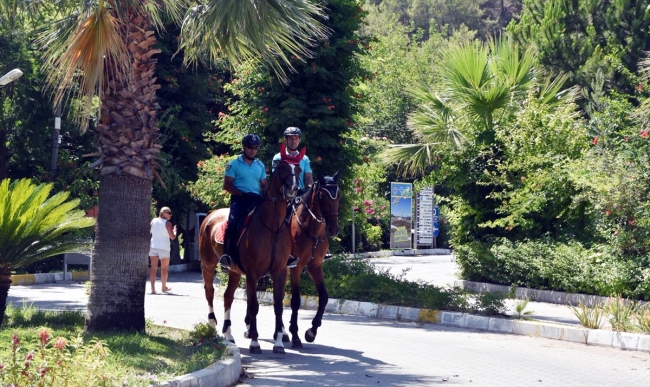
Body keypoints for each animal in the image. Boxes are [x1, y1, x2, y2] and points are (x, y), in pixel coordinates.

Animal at [196, 157, 300, 354]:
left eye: (297, 168)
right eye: (282, 168)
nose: (293, 188)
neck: (272, 227)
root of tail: (210, 216)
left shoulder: (280, 272)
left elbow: (278, 306)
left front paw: (279, 343)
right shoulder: (252, 274)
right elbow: (253, 306)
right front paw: (254, 342)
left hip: (235, 271)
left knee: (228, 296)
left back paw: (228, 334)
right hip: (208, 265)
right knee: (209, 291)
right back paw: (212, 323)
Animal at [286, 171, 342, 350]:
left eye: (339, 195)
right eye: (322, 196)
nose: (333, 229)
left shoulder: (315, 266)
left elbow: (324, 297)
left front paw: (311, 331)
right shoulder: (296, 267)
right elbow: (295, 301)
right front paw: (295, 336)